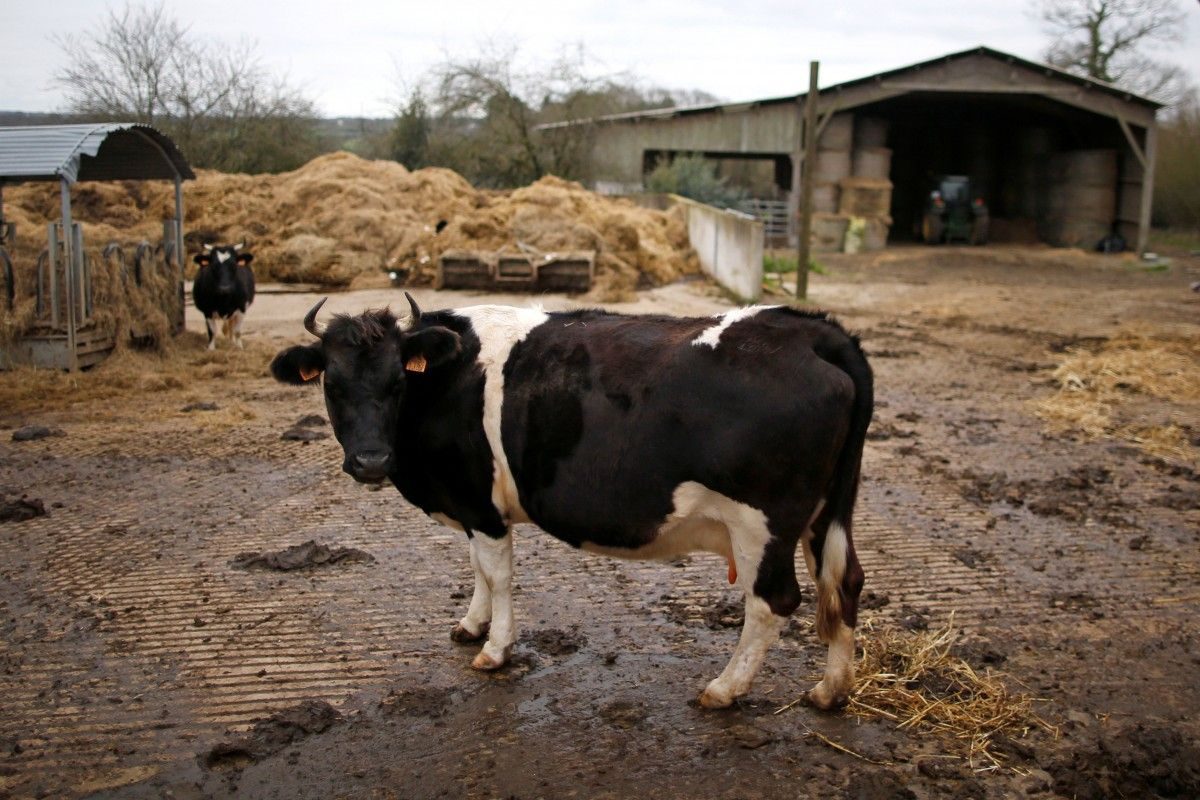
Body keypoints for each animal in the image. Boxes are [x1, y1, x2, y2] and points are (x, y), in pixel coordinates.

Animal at [270, 297, 873, 710]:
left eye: (398, 381)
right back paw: (831, 690)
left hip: (760, 521)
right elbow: (477, 571)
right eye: (332, 385)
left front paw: (494, 649)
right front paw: (471, 625)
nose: (370, 460)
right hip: (826, 515)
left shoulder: (481, 506)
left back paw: (725, 689)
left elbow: (498, 575)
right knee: (843, 582)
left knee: (772, 602)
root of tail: (811, 329)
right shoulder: (471, 504)